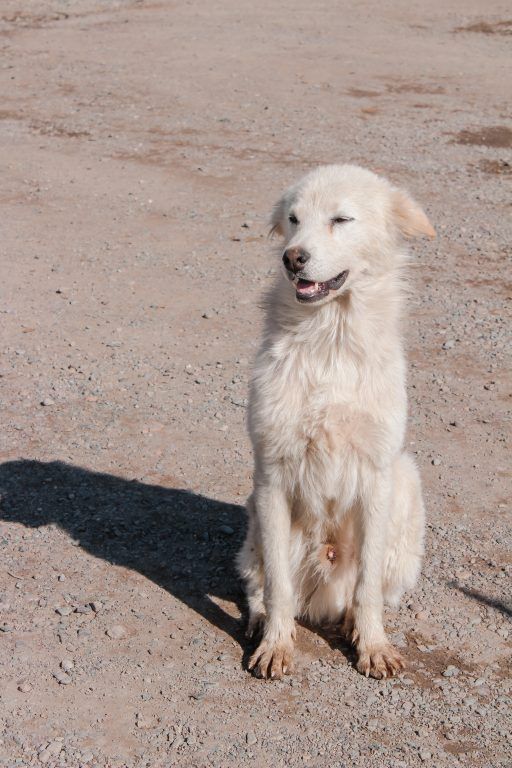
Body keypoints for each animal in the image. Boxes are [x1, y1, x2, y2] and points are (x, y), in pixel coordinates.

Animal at [238, 165, 434, 680]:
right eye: (293, 219)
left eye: (341, 219)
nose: (292, 258)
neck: (331, 338)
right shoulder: (272, 473)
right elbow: (278, 586)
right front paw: (276, 644)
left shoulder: (377, 474)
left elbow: (367, 588)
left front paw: (373, 645)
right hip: (255, 518)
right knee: (262, 585)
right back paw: (263, 622)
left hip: (407, 482)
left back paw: (349, 625)